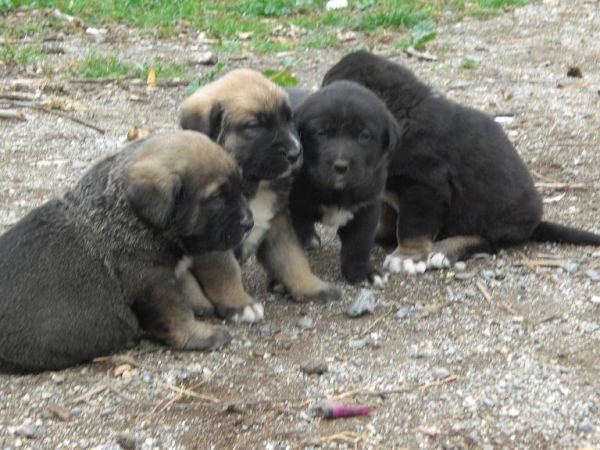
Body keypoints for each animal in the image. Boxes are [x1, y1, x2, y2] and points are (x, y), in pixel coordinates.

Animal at [0, 131, 253, 372]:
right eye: (218, 198)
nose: (249, 223)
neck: (128, 214)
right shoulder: (153, 282)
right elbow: (178, 312)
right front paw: (202, 335)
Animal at [179, 67, 342, 320]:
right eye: (255, 125)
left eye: (289, 118)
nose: (296, 153)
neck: (252, 187)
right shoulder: (214, 239)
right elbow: (226, 272)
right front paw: (240, 304)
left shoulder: (277, 223)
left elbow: (292, 258)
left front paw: (311, 286)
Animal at [292, 81, 404, 284]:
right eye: (321, 133)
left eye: (364, 135)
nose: (341, 166)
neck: (338, 192)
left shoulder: (367, 208)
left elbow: (358, 244)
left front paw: (362, 273)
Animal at [324, 50, 600, 274]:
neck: (402, 113)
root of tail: (534, 224)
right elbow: (390, 214)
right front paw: (379, 233)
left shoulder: (424, 187)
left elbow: (412, 227)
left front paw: (407, 258)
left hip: (490, 217)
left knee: (485, 240)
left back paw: (444, 250)